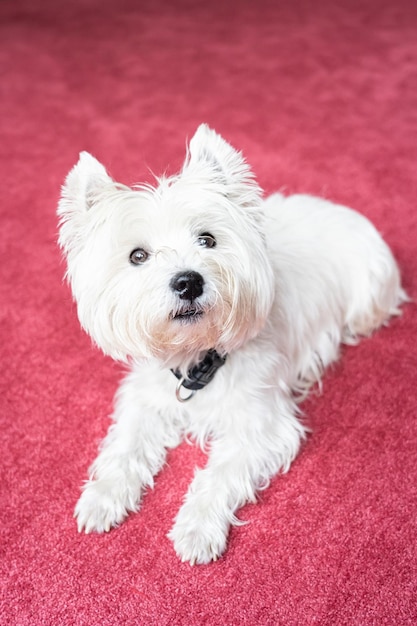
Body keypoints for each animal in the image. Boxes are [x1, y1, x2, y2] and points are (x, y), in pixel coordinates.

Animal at [57, 124, 404, 564]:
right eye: (137, 256)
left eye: (207, 239)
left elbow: (220, 474)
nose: (188, 281)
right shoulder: (146, 397)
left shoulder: (261, 425)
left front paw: (196, 528)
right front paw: (102, 496)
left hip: (368, 295)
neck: (197, 356)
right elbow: (126, 445)